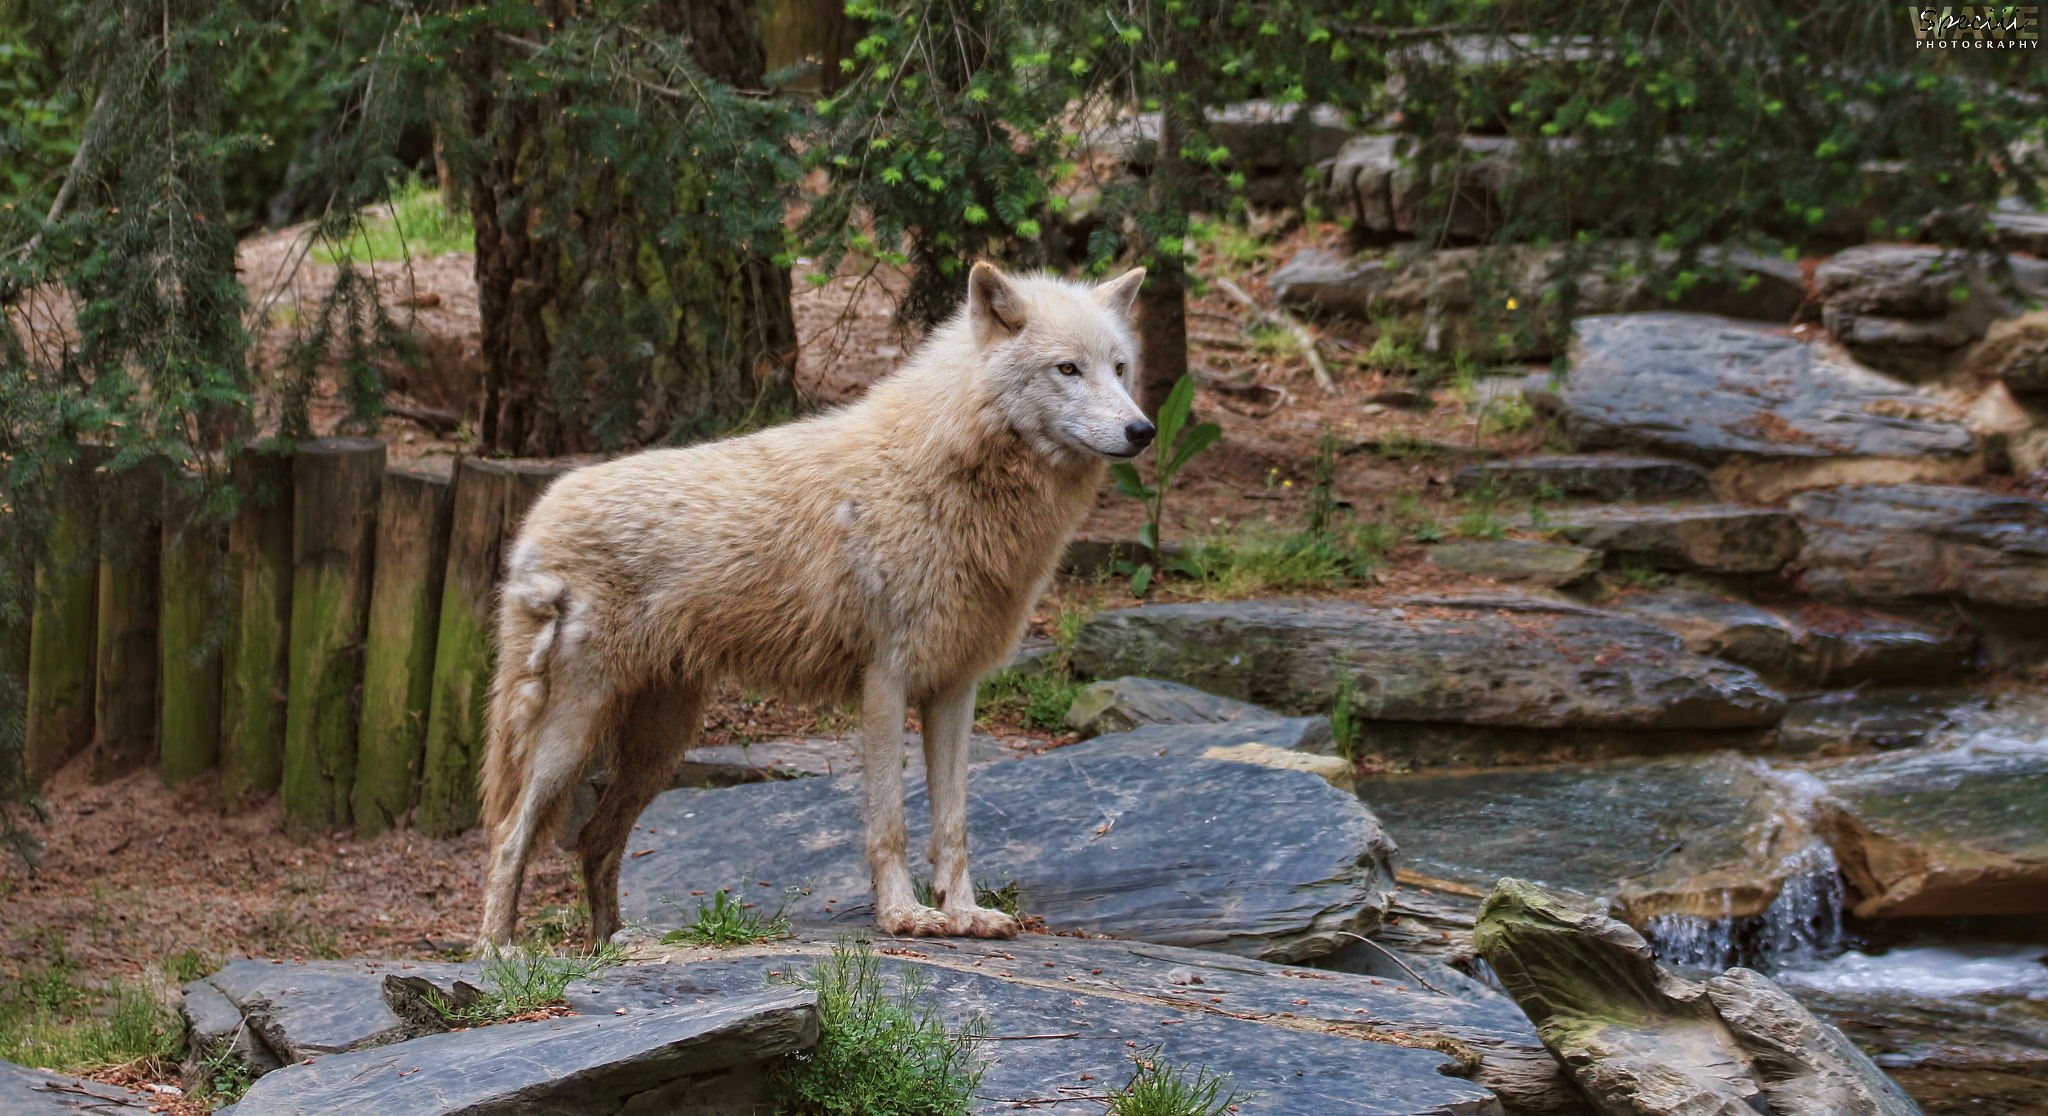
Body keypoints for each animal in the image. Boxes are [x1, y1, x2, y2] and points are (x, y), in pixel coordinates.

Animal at [477, 262, 1155, 946]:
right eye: (1068, 369)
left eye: (1120, 367)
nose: (1143, 431)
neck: (948, 471)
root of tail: (538, 515)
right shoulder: (886, 683)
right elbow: (891, 822)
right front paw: (905, 916)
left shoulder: (955, 689)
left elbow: (953, 824)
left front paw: (964, 915)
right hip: (575, 731)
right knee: (510, 834)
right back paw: (499, 953)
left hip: (659, 746)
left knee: (594, 839)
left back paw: (609, 944)